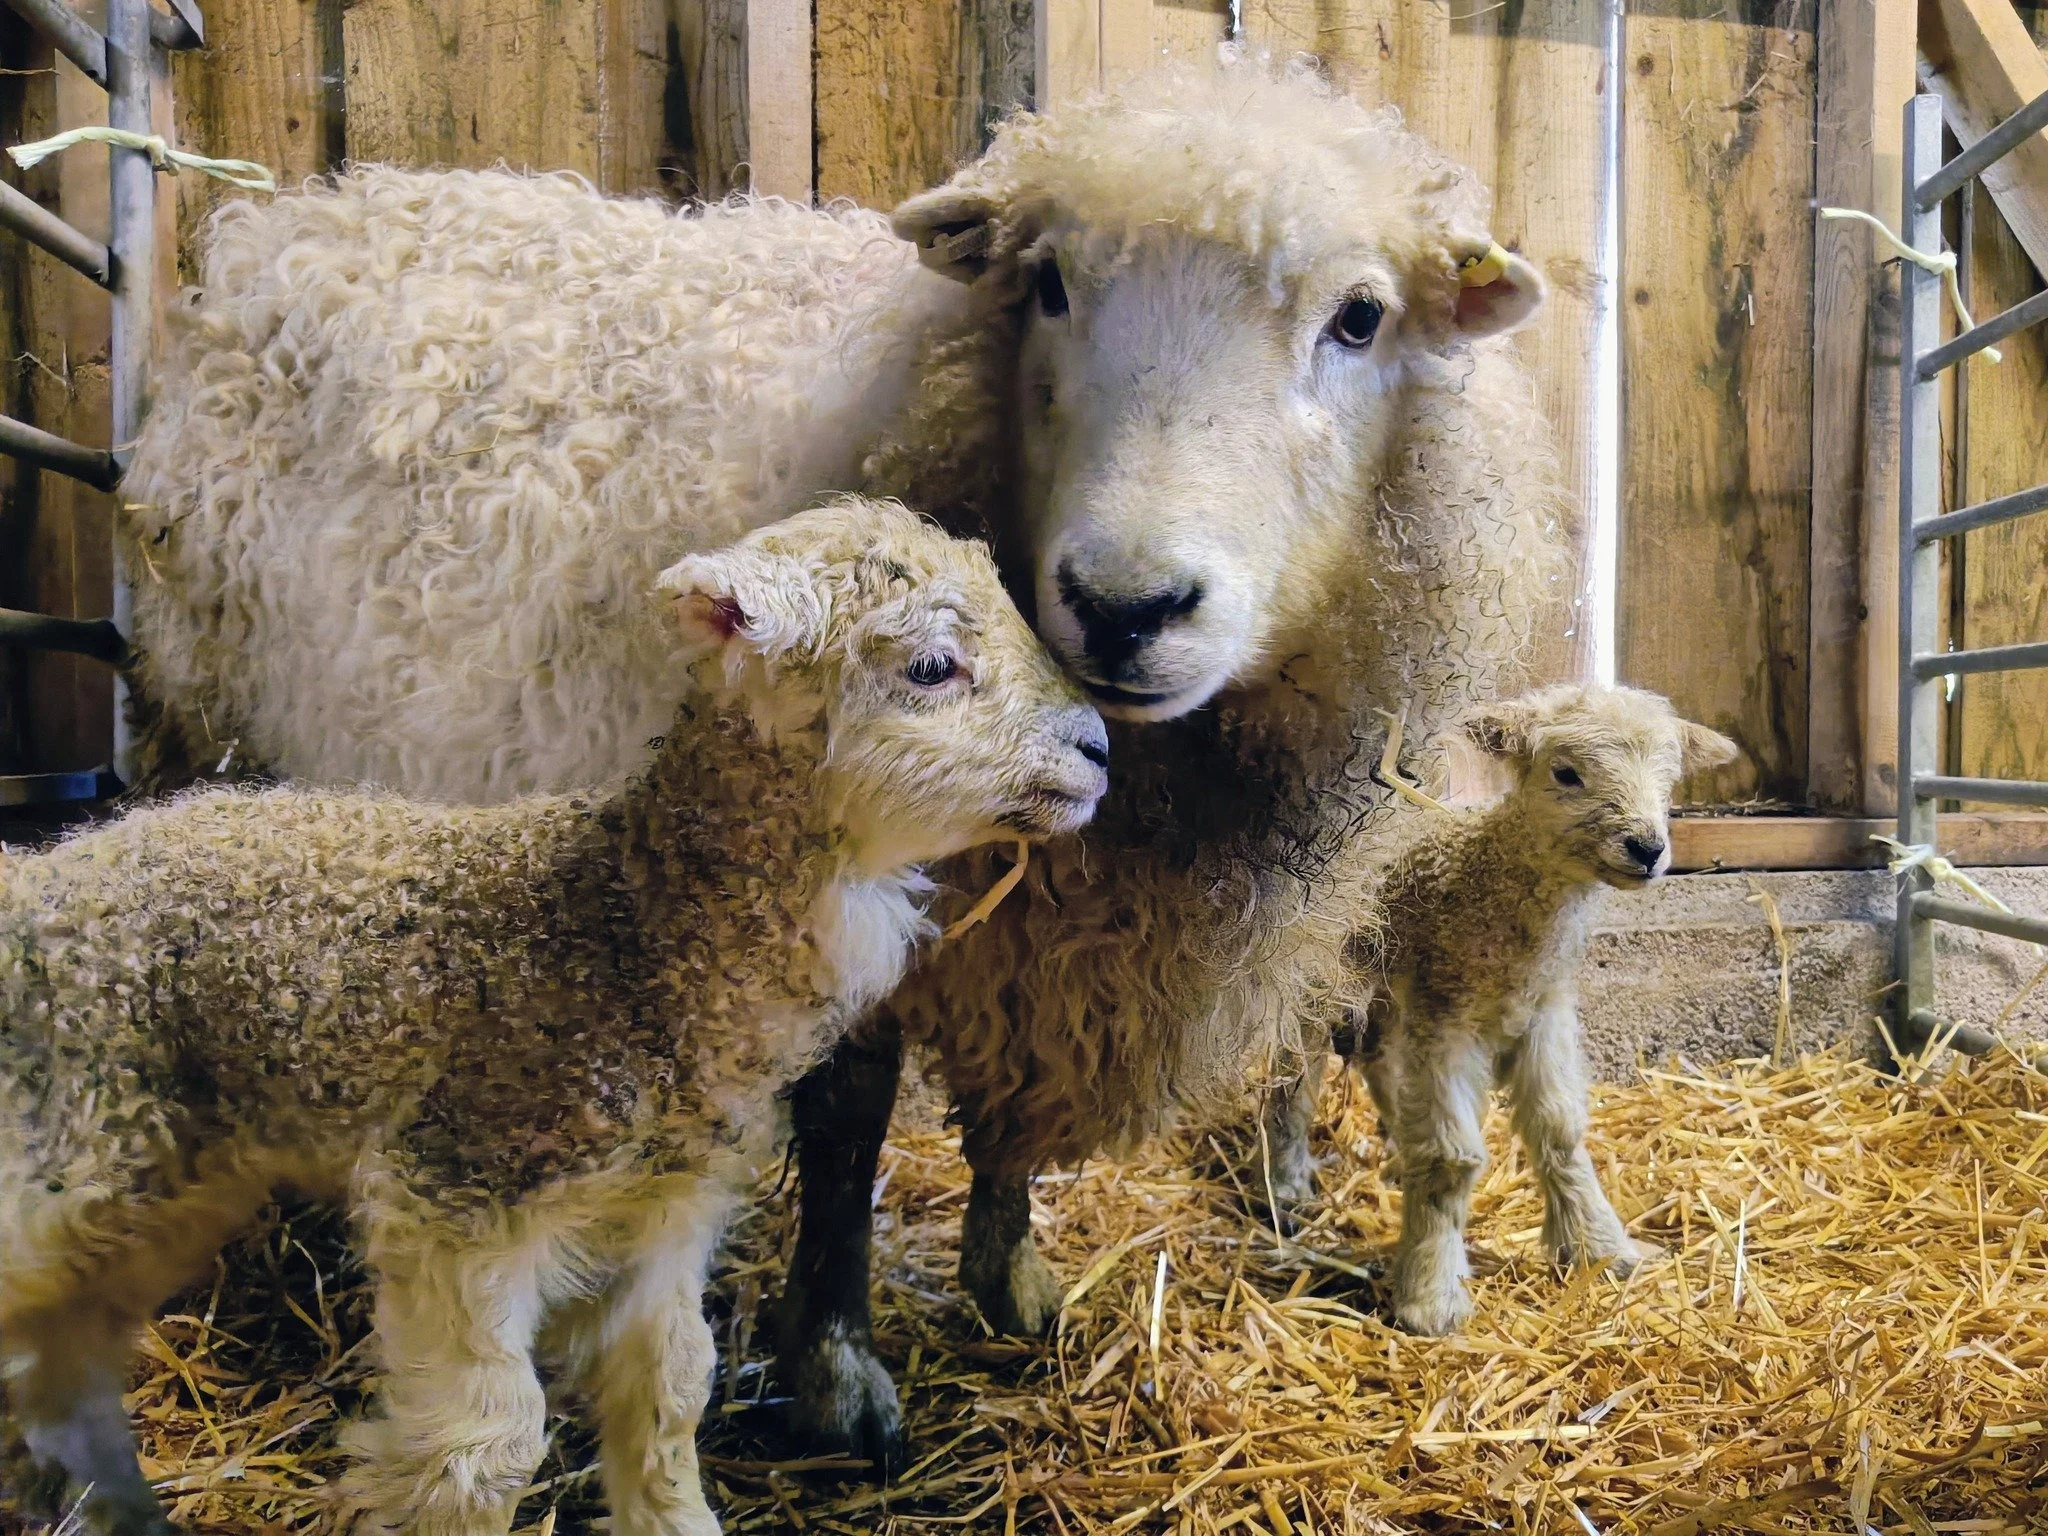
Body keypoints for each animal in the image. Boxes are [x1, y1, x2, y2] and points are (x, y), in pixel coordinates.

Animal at [0, 498, 1108, 1536]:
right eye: (931, 666)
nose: (1098, 745)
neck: (624, 936)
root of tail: (47, 873)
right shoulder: (457, 1196)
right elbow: (487, 1445)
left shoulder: (669, 1212)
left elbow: (674, 1390)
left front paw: (676, 1515)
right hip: (78, 1144)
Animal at [114, 58, 1571, 1465]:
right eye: (1046, 284)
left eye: (1361, 318)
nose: (1125, 606)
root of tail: (293, 221)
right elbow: (845, 1128)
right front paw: (834, 1366)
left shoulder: (1041, 942)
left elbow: (1006, 1121)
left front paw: (1010, 1275)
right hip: (209, 729)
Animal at [1261, 685, 1737, 1337]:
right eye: (1566, 773)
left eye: (1670, 781)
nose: (1648, 848)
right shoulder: (1448, 1018)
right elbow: (1449, 1157)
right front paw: (1432, 1295)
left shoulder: (1542, 1011)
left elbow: (1559, 1131)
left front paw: (1601, 1248)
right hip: (1321, 980)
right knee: (1294, 1075)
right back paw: (1286, 1183)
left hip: (1393, 986)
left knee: (1381, 1061)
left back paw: (1392, 1144)